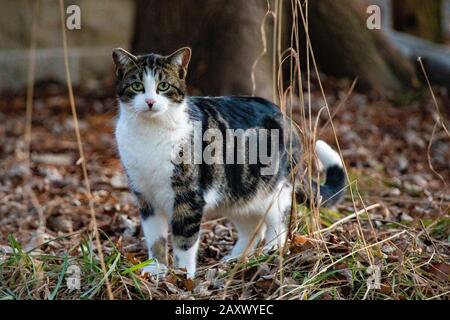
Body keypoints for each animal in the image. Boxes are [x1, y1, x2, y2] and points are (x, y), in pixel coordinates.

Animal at [112, 46, 344, 278]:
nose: (150, 102)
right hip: (238, 191)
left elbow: (184, 241)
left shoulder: (189, 197)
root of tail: (289, 121)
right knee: (253, 229)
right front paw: (155, 270)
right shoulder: (146, 197)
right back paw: (234, 260)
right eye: (137, 86)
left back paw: (271, 252)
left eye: (163, 86)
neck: (149, 133)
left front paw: (182, 275)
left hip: (273, 190)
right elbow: (155, 239)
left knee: (278, 223)